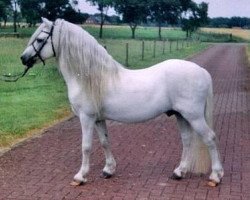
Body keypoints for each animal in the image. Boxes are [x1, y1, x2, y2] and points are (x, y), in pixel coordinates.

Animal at [20, 18, 224, 187]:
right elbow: (104, 142)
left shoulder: (86, 118)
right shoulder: (98, 119)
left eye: (39, 40)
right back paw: (179, 172)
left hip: (194, 116)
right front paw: (108, 170)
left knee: (210, 138)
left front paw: (80, 176)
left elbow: (86, 147)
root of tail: (202, 71)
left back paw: (215, 176)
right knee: (187, 140)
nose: (23, 59)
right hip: (181, 115)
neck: (91, 77)